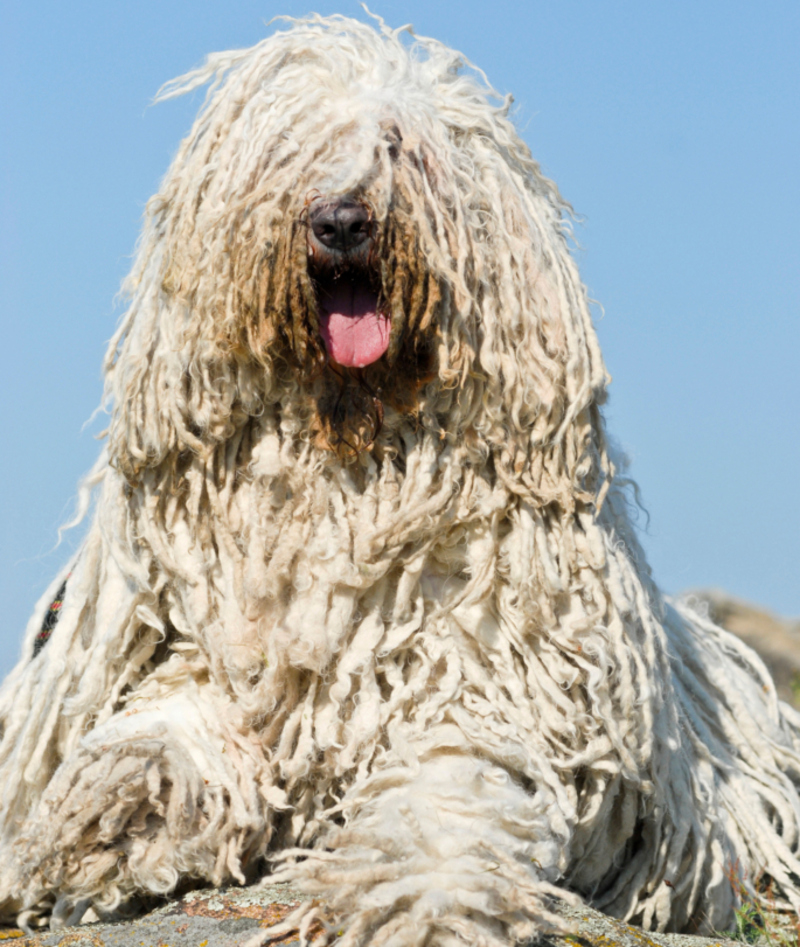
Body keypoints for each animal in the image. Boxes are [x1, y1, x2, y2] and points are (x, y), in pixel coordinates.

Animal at [1, 11, 800, 944]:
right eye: (293, 148)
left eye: (399, 148)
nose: (342, 221)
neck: (349, 453)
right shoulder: (201, 642)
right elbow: (168, 718)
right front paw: (119, 810)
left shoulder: (476, 694)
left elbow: (447, 804)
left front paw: (426, 906)